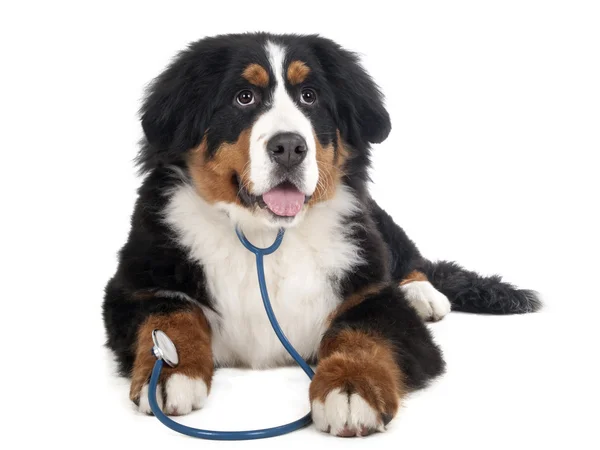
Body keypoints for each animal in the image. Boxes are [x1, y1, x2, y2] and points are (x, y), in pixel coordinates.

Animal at [102, 33, 540, 438]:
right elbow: (171, 313)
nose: (289, 147)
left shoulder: (371, 293)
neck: (266, 239)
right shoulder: (133, 285)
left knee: (410, 258)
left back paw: (423, 294)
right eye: (244, 97)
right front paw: (170, 371)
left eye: (309, 97)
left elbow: (362, 332)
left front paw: (349, 387)